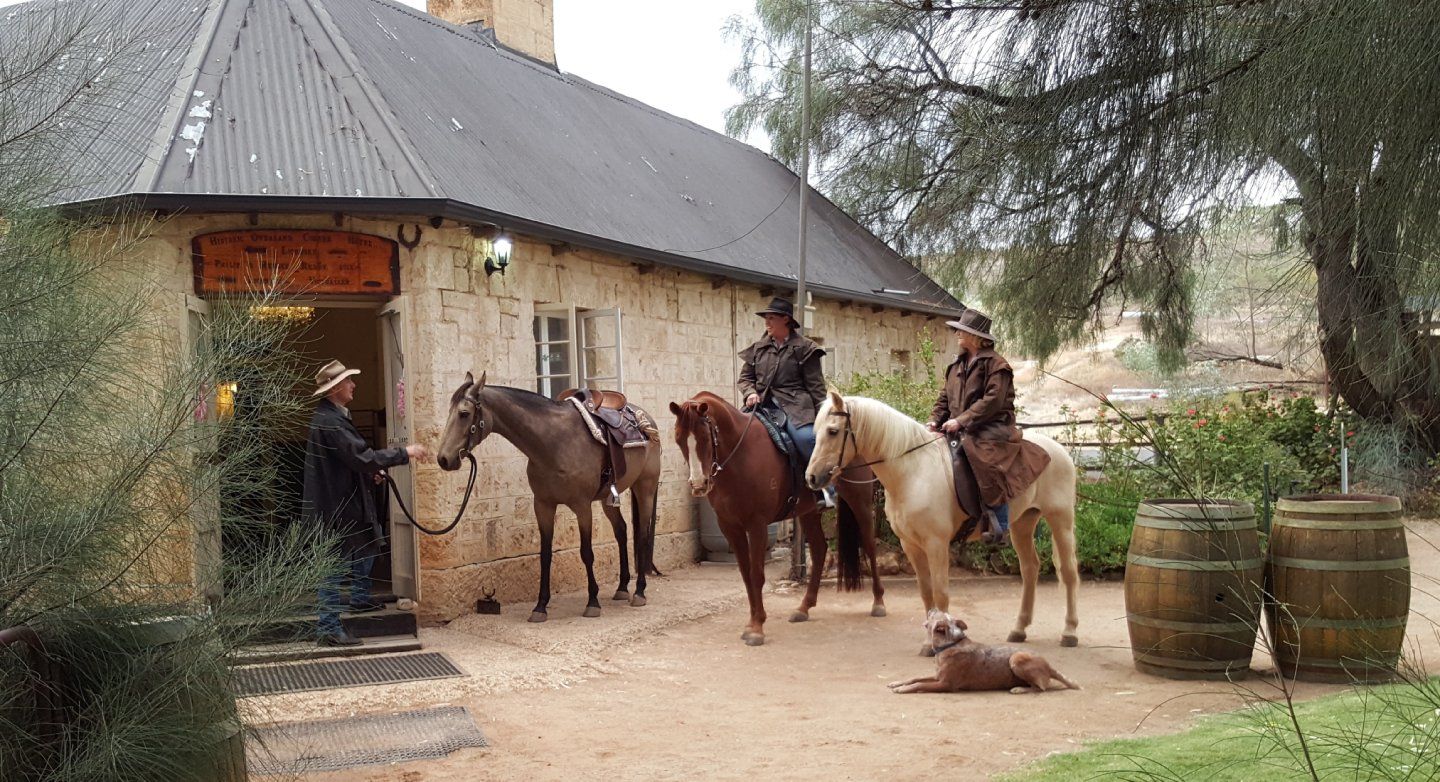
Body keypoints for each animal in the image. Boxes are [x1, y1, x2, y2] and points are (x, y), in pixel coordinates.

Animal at [436, 372, 663, 622]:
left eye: (464, 414)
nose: (443, 459)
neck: (554, 443)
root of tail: (645, 419)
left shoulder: (582, 506)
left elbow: (587, 553)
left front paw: (592, 601)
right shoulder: (543, 505)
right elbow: (545, 555)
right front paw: (540, 606)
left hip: (645, 488)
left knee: (642, 535)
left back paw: (639, 591)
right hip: (608, 498)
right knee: (621, 531)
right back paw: (622, 587)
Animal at [669, 391, 887, 646]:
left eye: (704, 437)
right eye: (678, 438)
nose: (698, 485)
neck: (740, 455)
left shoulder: (757, 525)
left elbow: (757, 574)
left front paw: (757, 628)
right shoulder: (730, 527)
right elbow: (746, 574)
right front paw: (752, 622)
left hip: (859, 501)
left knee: (870, 545)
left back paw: (878, 602)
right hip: (808, 512)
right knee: (820, 550)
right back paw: (804, 607)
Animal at [804, 391, 1080, 649]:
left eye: (832, 431)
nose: (812, 478)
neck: (913, 471)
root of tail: (1059, 451)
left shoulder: (936, 544)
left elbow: (941, 593)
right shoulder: (911, 545)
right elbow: (927, 593)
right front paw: (929, 641)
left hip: (1060, 519)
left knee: (1068, 571)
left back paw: (1069, 631)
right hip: (1022, 523)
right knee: (1030, 569)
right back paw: (1019, 629)